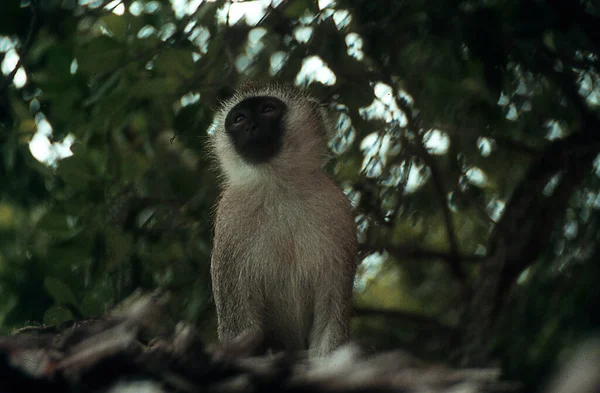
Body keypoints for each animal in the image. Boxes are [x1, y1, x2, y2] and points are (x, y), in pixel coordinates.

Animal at [207, 81, 356, 356]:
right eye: (239, 118)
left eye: (267, 110)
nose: (251, 126)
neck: (278, 188)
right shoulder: (230, 223)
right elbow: (241, 329)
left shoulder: (336, 213)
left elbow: (330, 326)